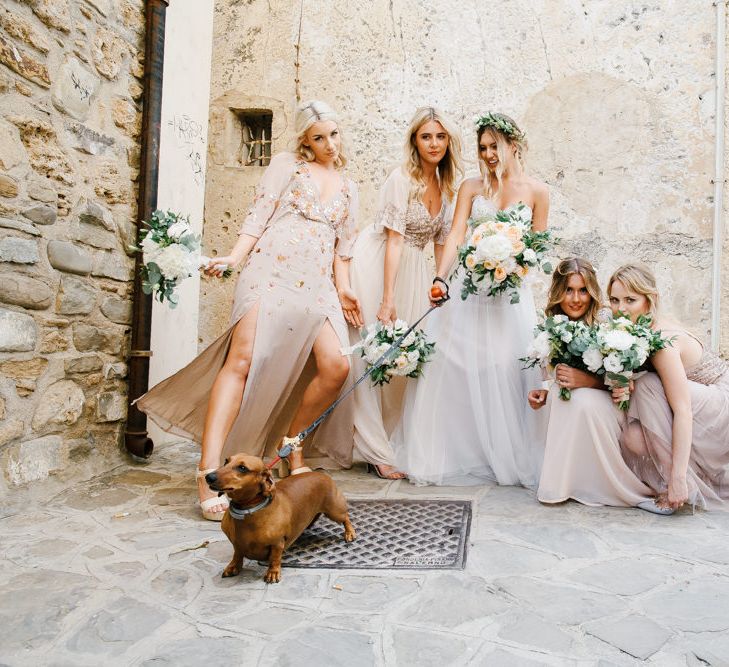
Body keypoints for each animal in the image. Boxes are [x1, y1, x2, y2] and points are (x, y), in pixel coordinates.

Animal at [205, 454, 356, 584]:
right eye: (226, 461)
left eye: (242, 468)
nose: (208, 477)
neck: (247, 512)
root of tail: (321, 474)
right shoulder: (237, 544)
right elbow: (237, 554)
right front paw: (233, 566)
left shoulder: (277, 543)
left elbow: (275, 559)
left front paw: (273, 573)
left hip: (334, 511)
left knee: (346, 518)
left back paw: (350, 533)